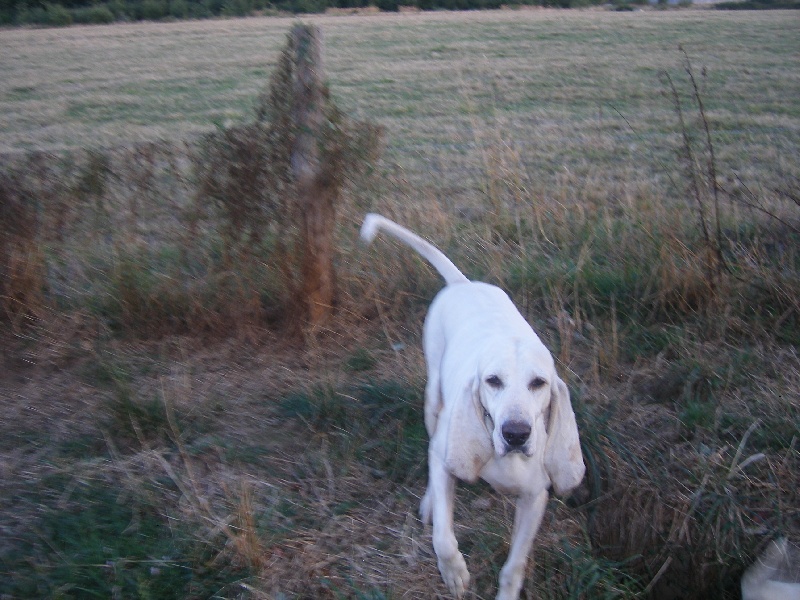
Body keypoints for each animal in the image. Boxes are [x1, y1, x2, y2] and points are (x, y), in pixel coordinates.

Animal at [360, 216, 580, 600]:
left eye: (539, 383)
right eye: (492, 380)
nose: (516, 434)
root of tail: (463, 284)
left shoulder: (534, 498)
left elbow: (514, 566)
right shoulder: (445, 454)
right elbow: (444, 539)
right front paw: (455, 573)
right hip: (433, 399)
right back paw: (431, 503)